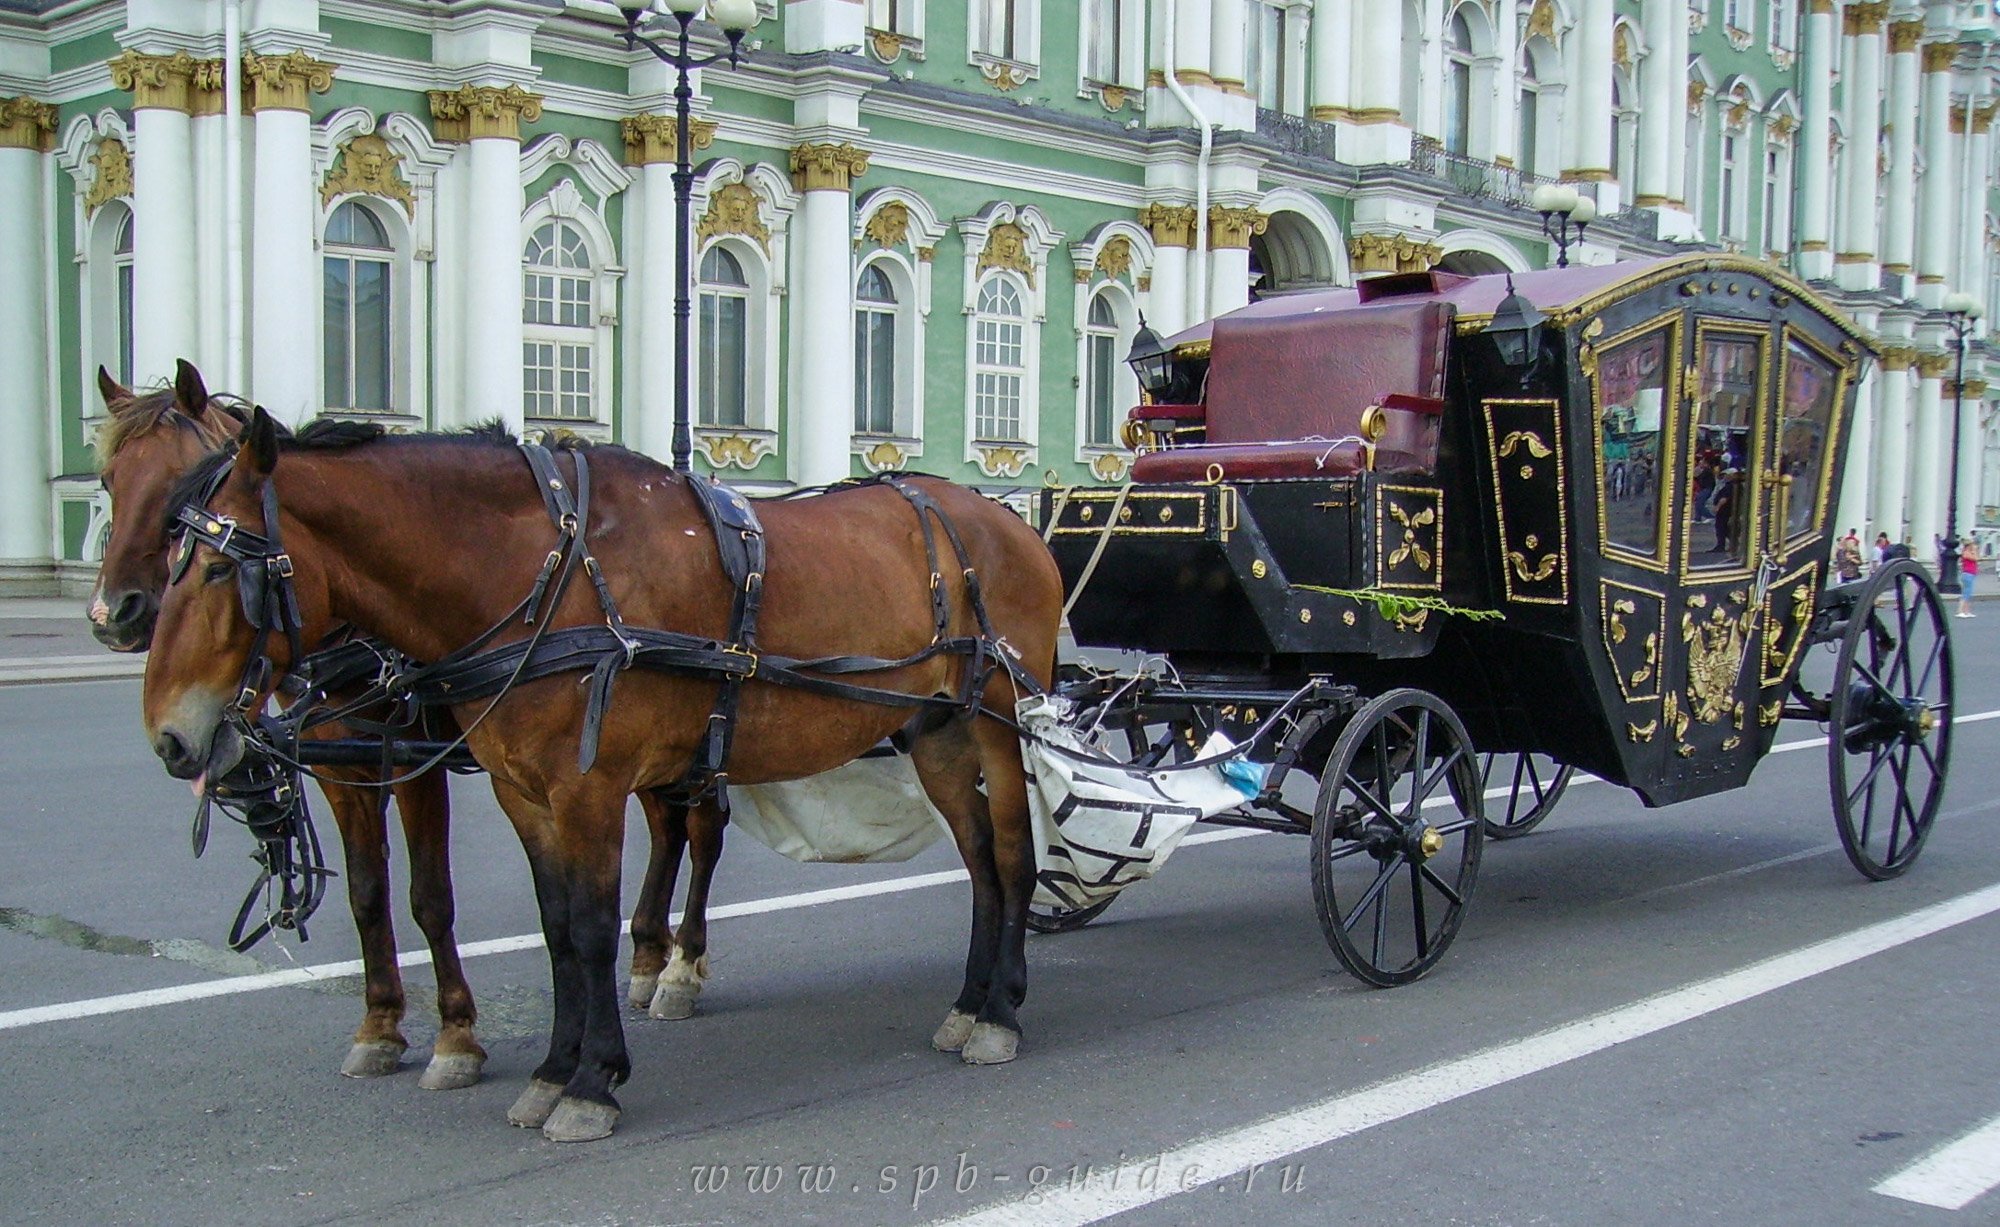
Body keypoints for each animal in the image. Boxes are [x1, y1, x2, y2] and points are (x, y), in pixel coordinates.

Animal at [88, 365, 728, 1095]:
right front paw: (380, 1025)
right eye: (109, 478)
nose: (113, 613)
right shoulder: (343, 771)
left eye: (176, 494)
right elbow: (368, 894)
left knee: (700, 832)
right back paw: (649, 955)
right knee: (669, 829)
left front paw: (456, 1036)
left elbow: (430, 897)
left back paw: (682, 964)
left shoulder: (418, 765)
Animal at [145, 411, 1064, 1143]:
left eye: (222, 567)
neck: (548, 571)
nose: (170, 738)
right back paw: (970, 1001)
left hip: (1001, 723)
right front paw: (554, 1070)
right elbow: (557, 930)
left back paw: (1004, 1010)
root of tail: (1005, 521)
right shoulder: (525, 794)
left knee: (1015, 856)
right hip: (938, 734)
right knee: (981, 863)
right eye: (168, 549)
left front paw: (592, 1082)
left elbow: (591, 928)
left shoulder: (589, 790)